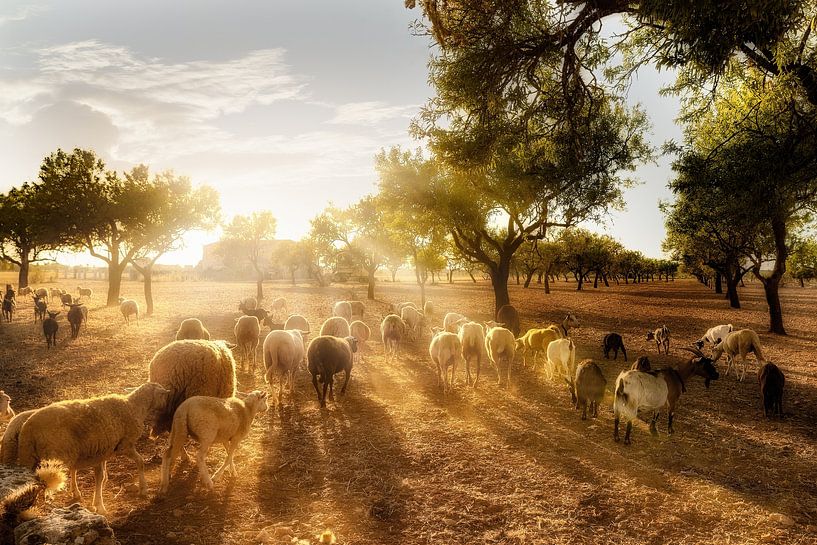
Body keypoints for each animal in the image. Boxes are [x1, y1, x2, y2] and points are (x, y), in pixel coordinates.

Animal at [16, 380, 170, 512]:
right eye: (163, 395)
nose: (168, 405)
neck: (134, 407)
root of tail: (28, 428)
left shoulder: (103, 450)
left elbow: (100, 475)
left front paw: (99, 496)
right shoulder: (125, 445)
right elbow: (140, 462)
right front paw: (143, 489)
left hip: (29, 457)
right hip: (56, 456)